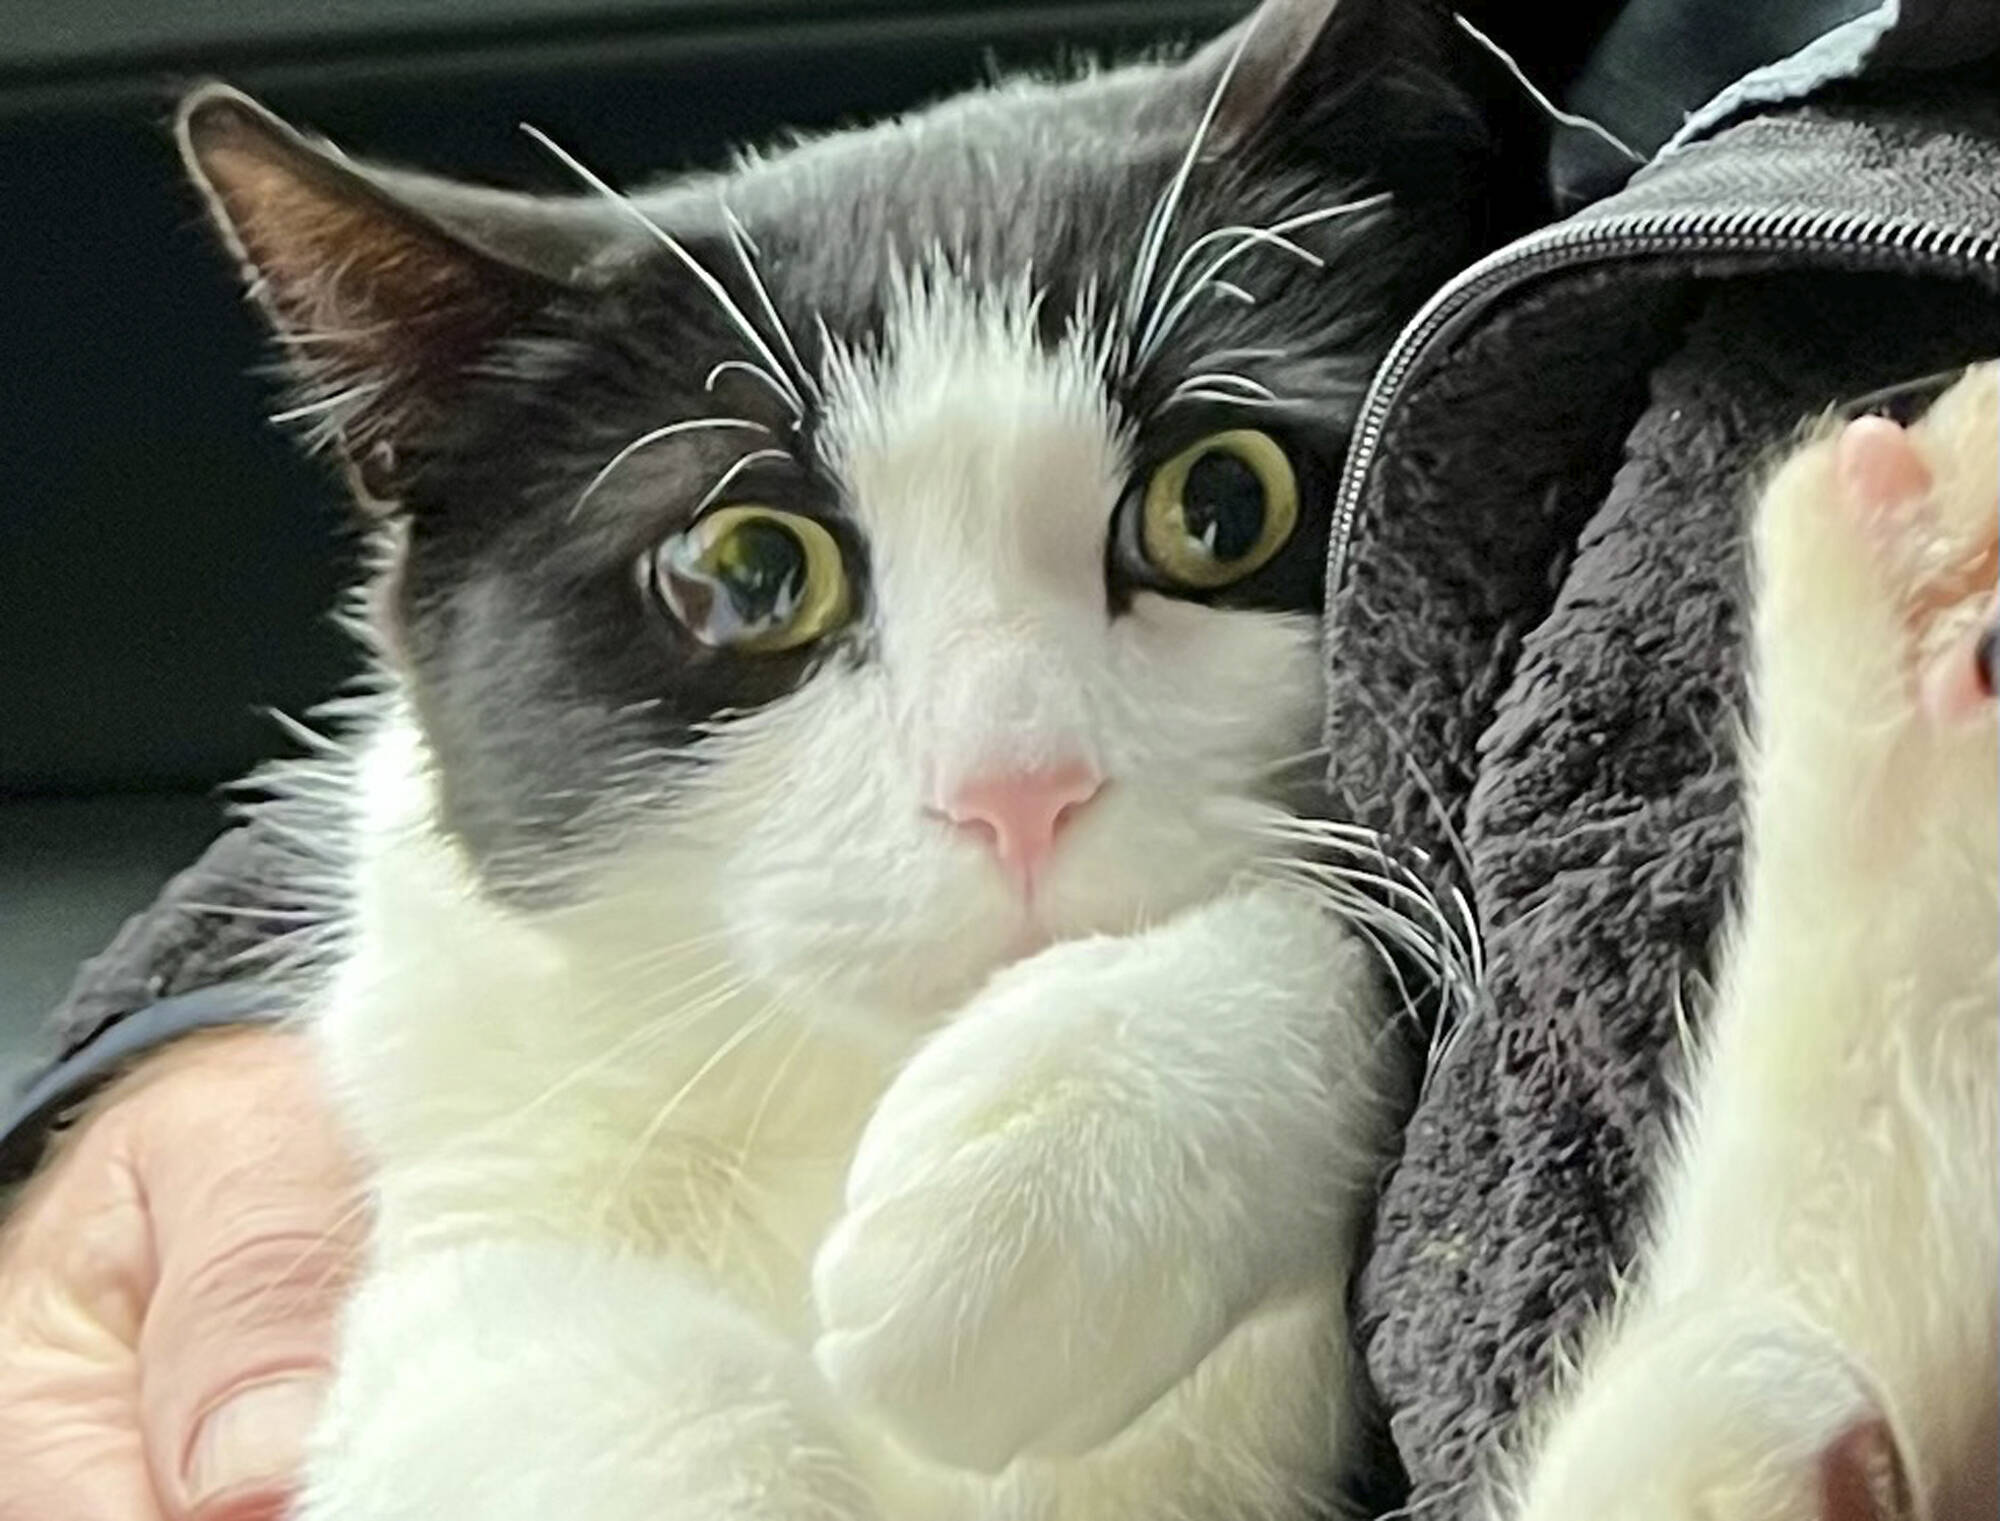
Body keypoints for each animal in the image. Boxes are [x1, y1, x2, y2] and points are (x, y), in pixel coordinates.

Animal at [180, 2, 1504, 1521]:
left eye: (1221, 501)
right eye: (751, 572)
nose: (1013, 788)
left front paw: (1045, 1182)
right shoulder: (478, 1155)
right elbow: (540, 1372)